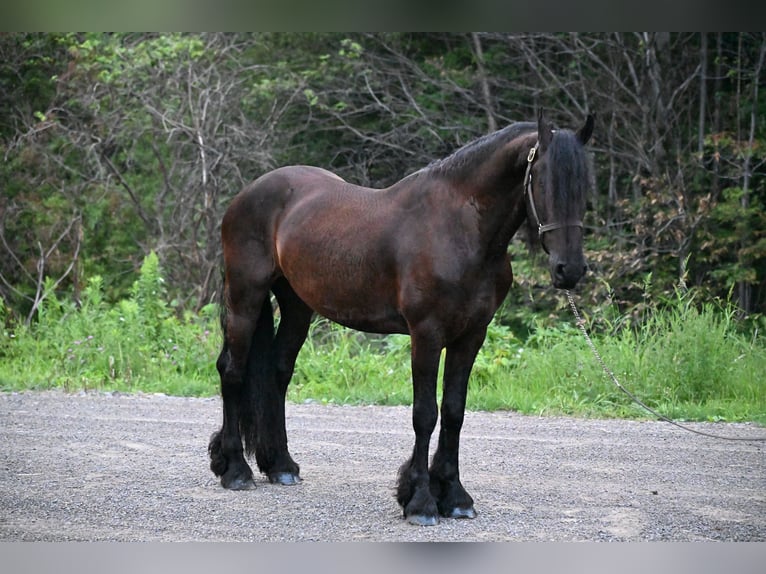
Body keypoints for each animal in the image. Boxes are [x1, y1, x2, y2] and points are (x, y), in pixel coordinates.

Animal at [208, 110, 595, 525]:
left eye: (584, 185)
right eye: (543, 181)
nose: (569, 270)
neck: (460, 230)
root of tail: (247, 195)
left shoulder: (471, 336)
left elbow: (454, 411)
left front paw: (454, 496)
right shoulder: (426, 334)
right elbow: (425, 414)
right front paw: (421, 501)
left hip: (297, 304)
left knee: (278, 373)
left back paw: (280, 465)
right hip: (245, 297)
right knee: (232, 371)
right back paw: (235, 470)